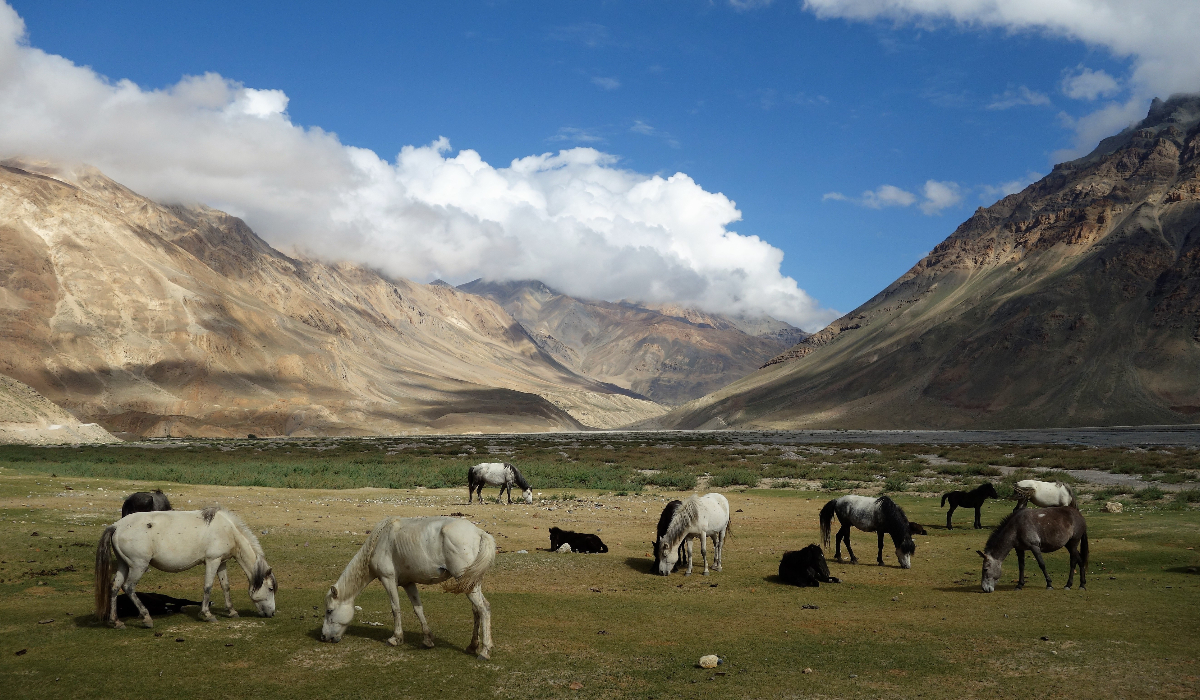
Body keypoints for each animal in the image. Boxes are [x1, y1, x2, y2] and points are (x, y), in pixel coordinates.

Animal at [94, 504, 277, 629]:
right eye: (270, 589)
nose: (272, 613)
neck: (228, 530)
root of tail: (116, 526)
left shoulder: (221, 562)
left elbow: (226, 586)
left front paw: (231, 612)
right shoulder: (212, 561)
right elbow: (208, 587)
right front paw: (207, 614)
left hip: (124, 565)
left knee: (114, 587)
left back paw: (116, 621)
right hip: (138, 566)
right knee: (129, 587)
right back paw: (146, 618)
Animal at [319, 518, 496, 657]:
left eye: (329, 611)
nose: (323, 637)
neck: (379, 541)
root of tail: (479, 533)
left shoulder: (388, 579)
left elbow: (395, 608)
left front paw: (395, 638)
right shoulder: (408, 583)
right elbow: (418, 609)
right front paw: (427, 640)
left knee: (484, 608)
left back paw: (484, 651)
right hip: (470, 583)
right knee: (476, 610)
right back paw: (472, 646)